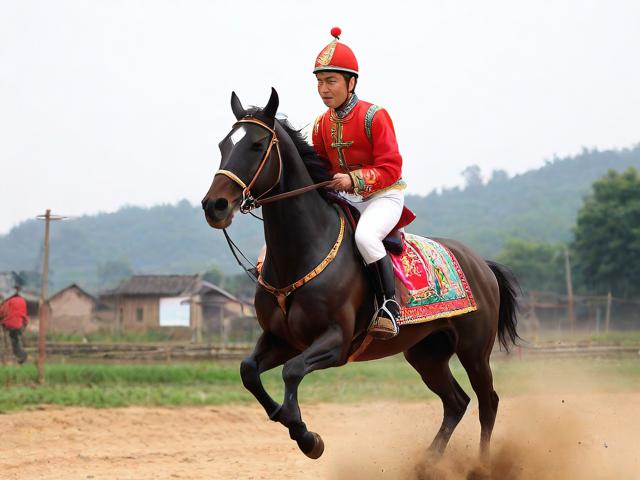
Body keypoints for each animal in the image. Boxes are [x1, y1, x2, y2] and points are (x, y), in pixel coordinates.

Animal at [201, 88, 519, 460]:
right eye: (223, 145)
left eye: (256, 144)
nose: (215, 206)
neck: (305, 250)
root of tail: (481, 264)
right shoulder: (282, 339)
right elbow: (248, 371)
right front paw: (287, 418)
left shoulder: (335, 341)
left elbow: (292, 372)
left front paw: (306, 436)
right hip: (426, 353)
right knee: (457, 402)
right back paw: (427, 462)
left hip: (474, 350)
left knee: (488, 401)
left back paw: (480, 463)